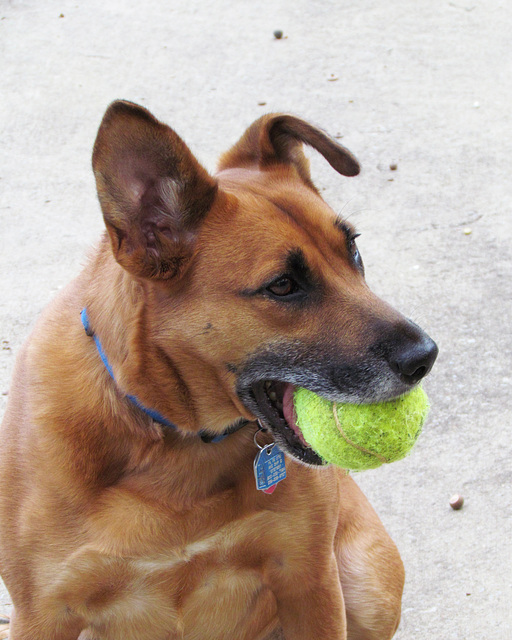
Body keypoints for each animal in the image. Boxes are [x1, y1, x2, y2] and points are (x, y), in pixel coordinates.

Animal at [0, 102, 436, 636]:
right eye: (283, 285)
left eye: (352, 248)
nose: (426, 356)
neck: (173, 445)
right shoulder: (44, 613)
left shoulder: (309, 579)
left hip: (368, 584)